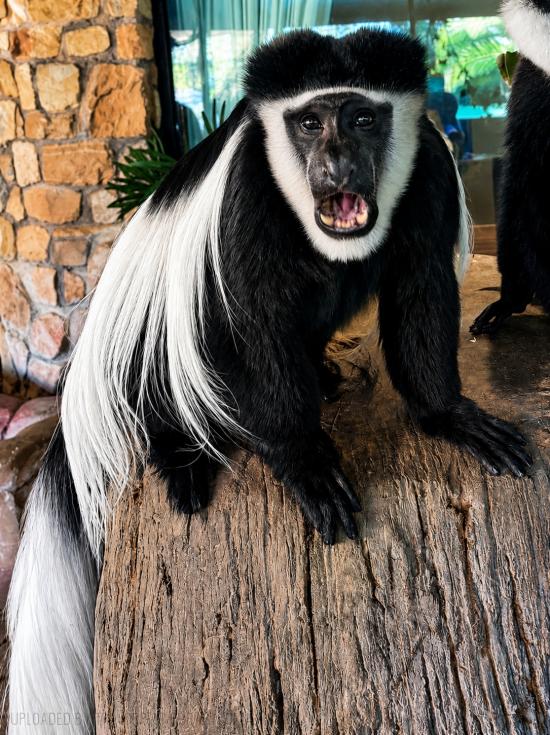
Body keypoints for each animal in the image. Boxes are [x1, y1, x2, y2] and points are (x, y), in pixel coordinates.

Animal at [7, 29, 532, 734]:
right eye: (309, 123)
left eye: (362, 119)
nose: (336, 165)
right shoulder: (246, 197)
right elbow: (252, 325)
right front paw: (306, 462)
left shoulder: (427, 174)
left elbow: (420, 286)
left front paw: (453, 416)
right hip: (145, 346)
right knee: (174, 373)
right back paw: (184, 457)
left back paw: (325, 375)